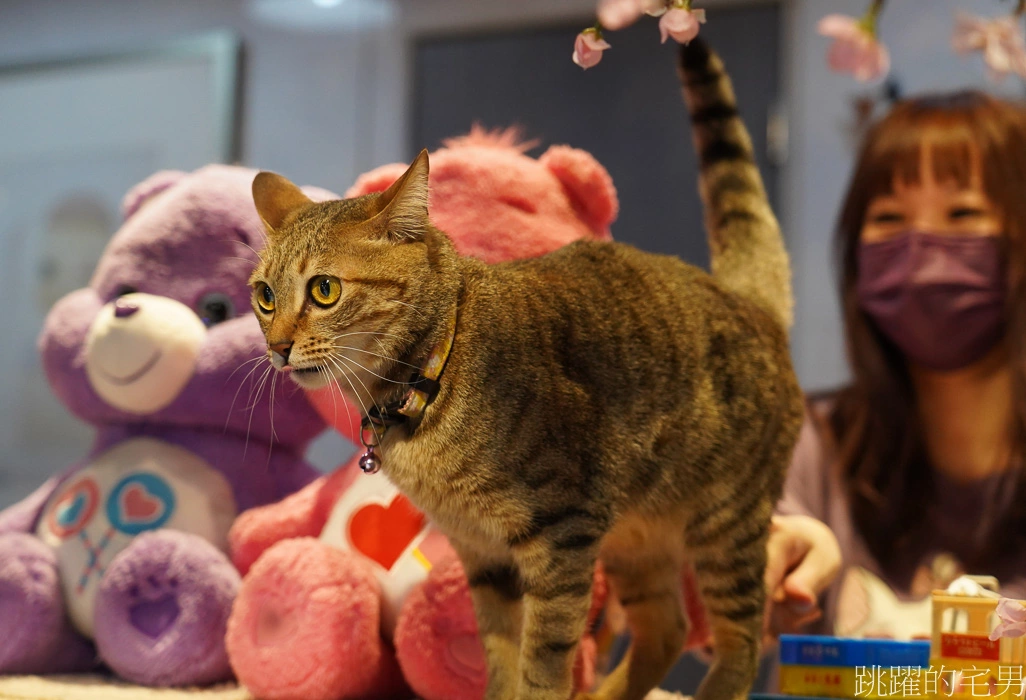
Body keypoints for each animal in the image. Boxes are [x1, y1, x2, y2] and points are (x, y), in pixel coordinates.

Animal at [246, 42, 800, 697]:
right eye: (264, 296)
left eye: (325, 290)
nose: (278, 347)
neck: (429, 380)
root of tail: (746, 297)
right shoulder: (481, 553)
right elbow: (500, 658)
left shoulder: (561, 536)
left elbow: (542, 664)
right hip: (637, 535)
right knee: (665, 626)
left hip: (726, 524)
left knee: (740, 640)